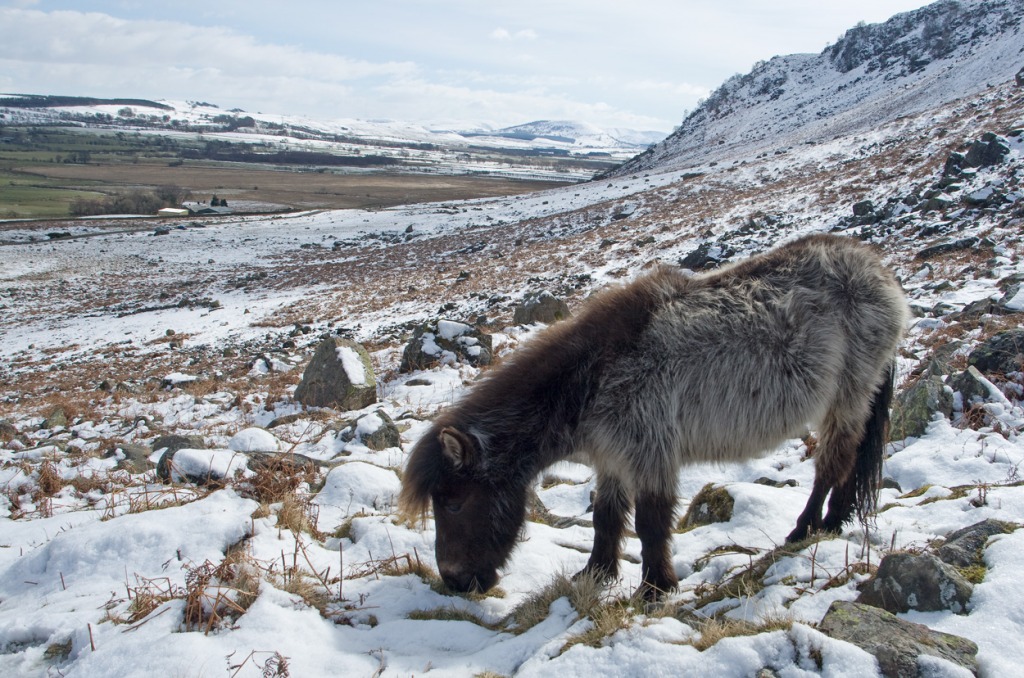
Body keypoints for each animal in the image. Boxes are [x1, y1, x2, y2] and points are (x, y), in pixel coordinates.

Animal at [397, 233, 905, 602]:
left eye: (454, 503)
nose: (456, 582)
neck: (590, 377)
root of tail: (879, 270)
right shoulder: (611, 458)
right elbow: (606, 518)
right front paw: (595, 575)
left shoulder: (650, 452)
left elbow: (650, 522)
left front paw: (655, 589)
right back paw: (833, 523)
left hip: (847, 397)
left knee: (834, 463)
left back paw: (810, 527)